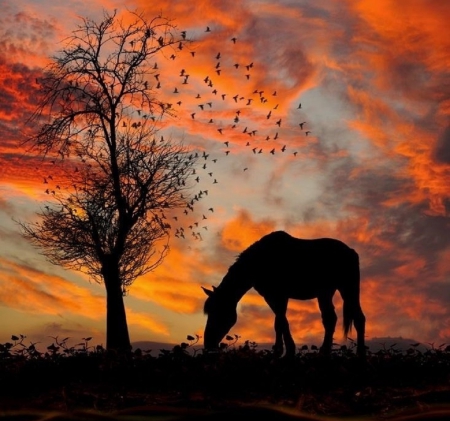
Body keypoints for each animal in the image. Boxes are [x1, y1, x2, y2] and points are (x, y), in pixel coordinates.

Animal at [203, 231, 366, 356]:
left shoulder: (279, 296)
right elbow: (279, 323)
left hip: (348, 289)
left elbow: (281, 322)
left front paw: (287, 352)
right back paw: (324, 353)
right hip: (325, 293)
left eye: (218, 311)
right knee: (330, 319)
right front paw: (280, 351)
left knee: (358, 318)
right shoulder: (271, 297)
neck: (259, 262)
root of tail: (351, 252)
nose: (208, 343)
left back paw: (360, 355)